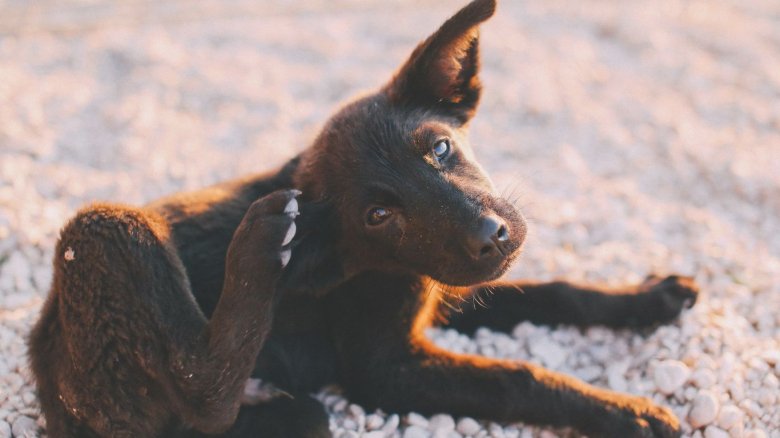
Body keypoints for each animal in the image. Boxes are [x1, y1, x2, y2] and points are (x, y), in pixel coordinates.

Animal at [30, 1, 700, 436]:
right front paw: (625, 412)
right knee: (203, 395)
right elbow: (515, 378)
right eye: (378, 215)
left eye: (440, 148)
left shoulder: (446, 292)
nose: (492, 236)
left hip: (293, 412)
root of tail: (46, 367)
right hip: (106, 231)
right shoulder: (386, 370)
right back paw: (259, 248)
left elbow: (555, 292)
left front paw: (649, 297)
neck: (382, 265)